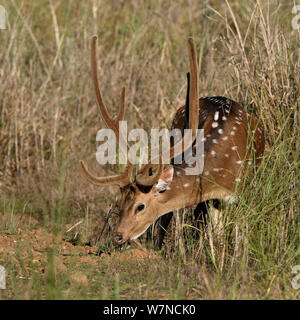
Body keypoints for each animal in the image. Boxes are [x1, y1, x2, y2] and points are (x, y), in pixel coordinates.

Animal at [80, 35, 264, 250]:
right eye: (118, 204)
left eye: (140, 206)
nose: (118, 236)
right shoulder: (212, 199)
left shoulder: (239, 192)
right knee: (168, 217)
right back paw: (158, 248)